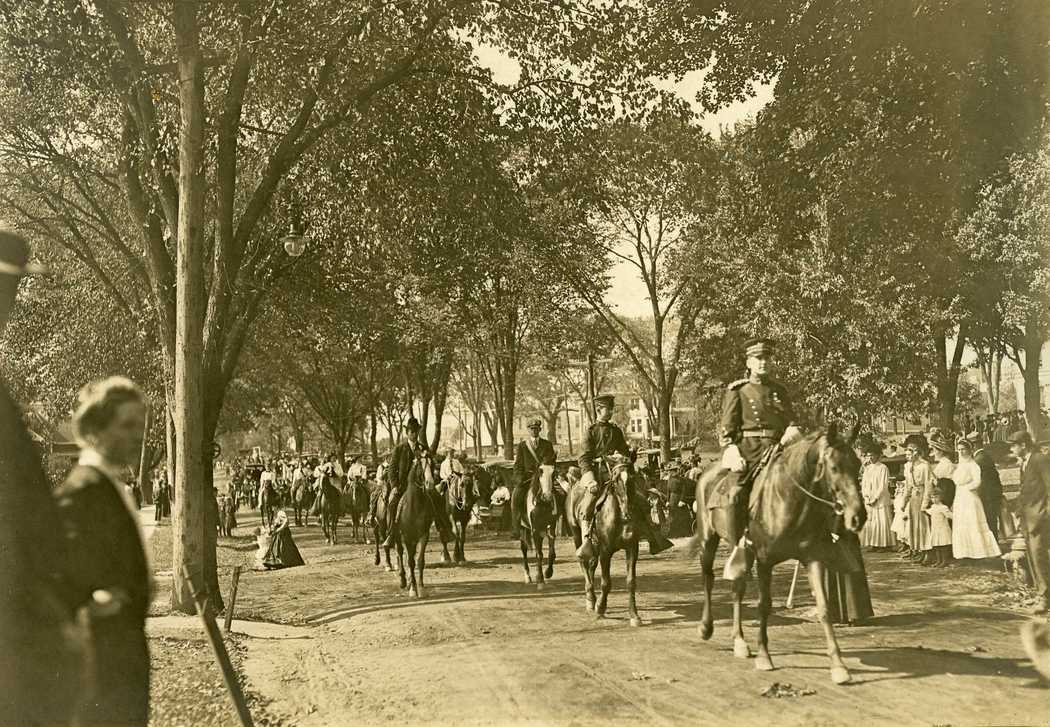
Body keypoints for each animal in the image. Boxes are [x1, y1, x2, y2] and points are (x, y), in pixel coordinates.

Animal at [567, 458, 638, 626]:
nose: (628, 510)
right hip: (576, 535)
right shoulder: (606, 551)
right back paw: (590, 599)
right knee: (584, 562)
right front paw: (600, 608)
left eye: (632, 477)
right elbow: (606, 582)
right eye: (616, 479)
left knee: (592, 563)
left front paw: (634, 615)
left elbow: (631, 581)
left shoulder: (632, 548)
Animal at [688, 426, 860, 680]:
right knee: (708, 579)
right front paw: (764, 656)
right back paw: (705, 627)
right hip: (709, 540)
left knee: (737, 588)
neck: (791, 497)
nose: (859, 516)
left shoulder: (812, 558)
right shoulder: (764, 560)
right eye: (835, 467)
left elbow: (824, 607)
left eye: (858, 464)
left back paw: (739, 641)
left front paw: (838, 665)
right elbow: (764, 605)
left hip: (738, 549)